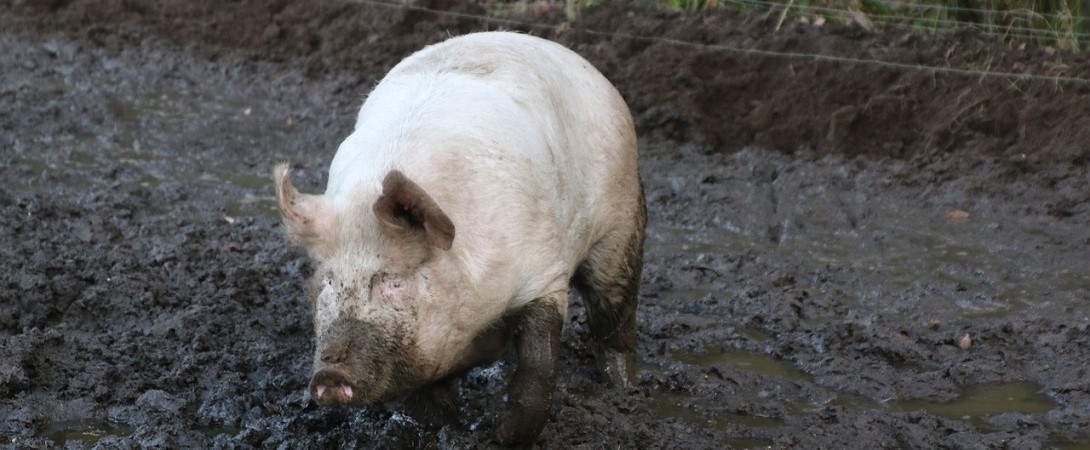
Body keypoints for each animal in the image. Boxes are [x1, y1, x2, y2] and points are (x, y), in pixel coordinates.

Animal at [273, 31, 645, 445]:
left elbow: (538, 366)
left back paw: (623, 389)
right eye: (329, 282)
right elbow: (424, 403)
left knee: (613, 311)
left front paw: (503, 436)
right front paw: (448, 432)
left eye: (393, 281)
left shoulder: (543, 274)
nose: (329, 375)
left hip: (621, 218)